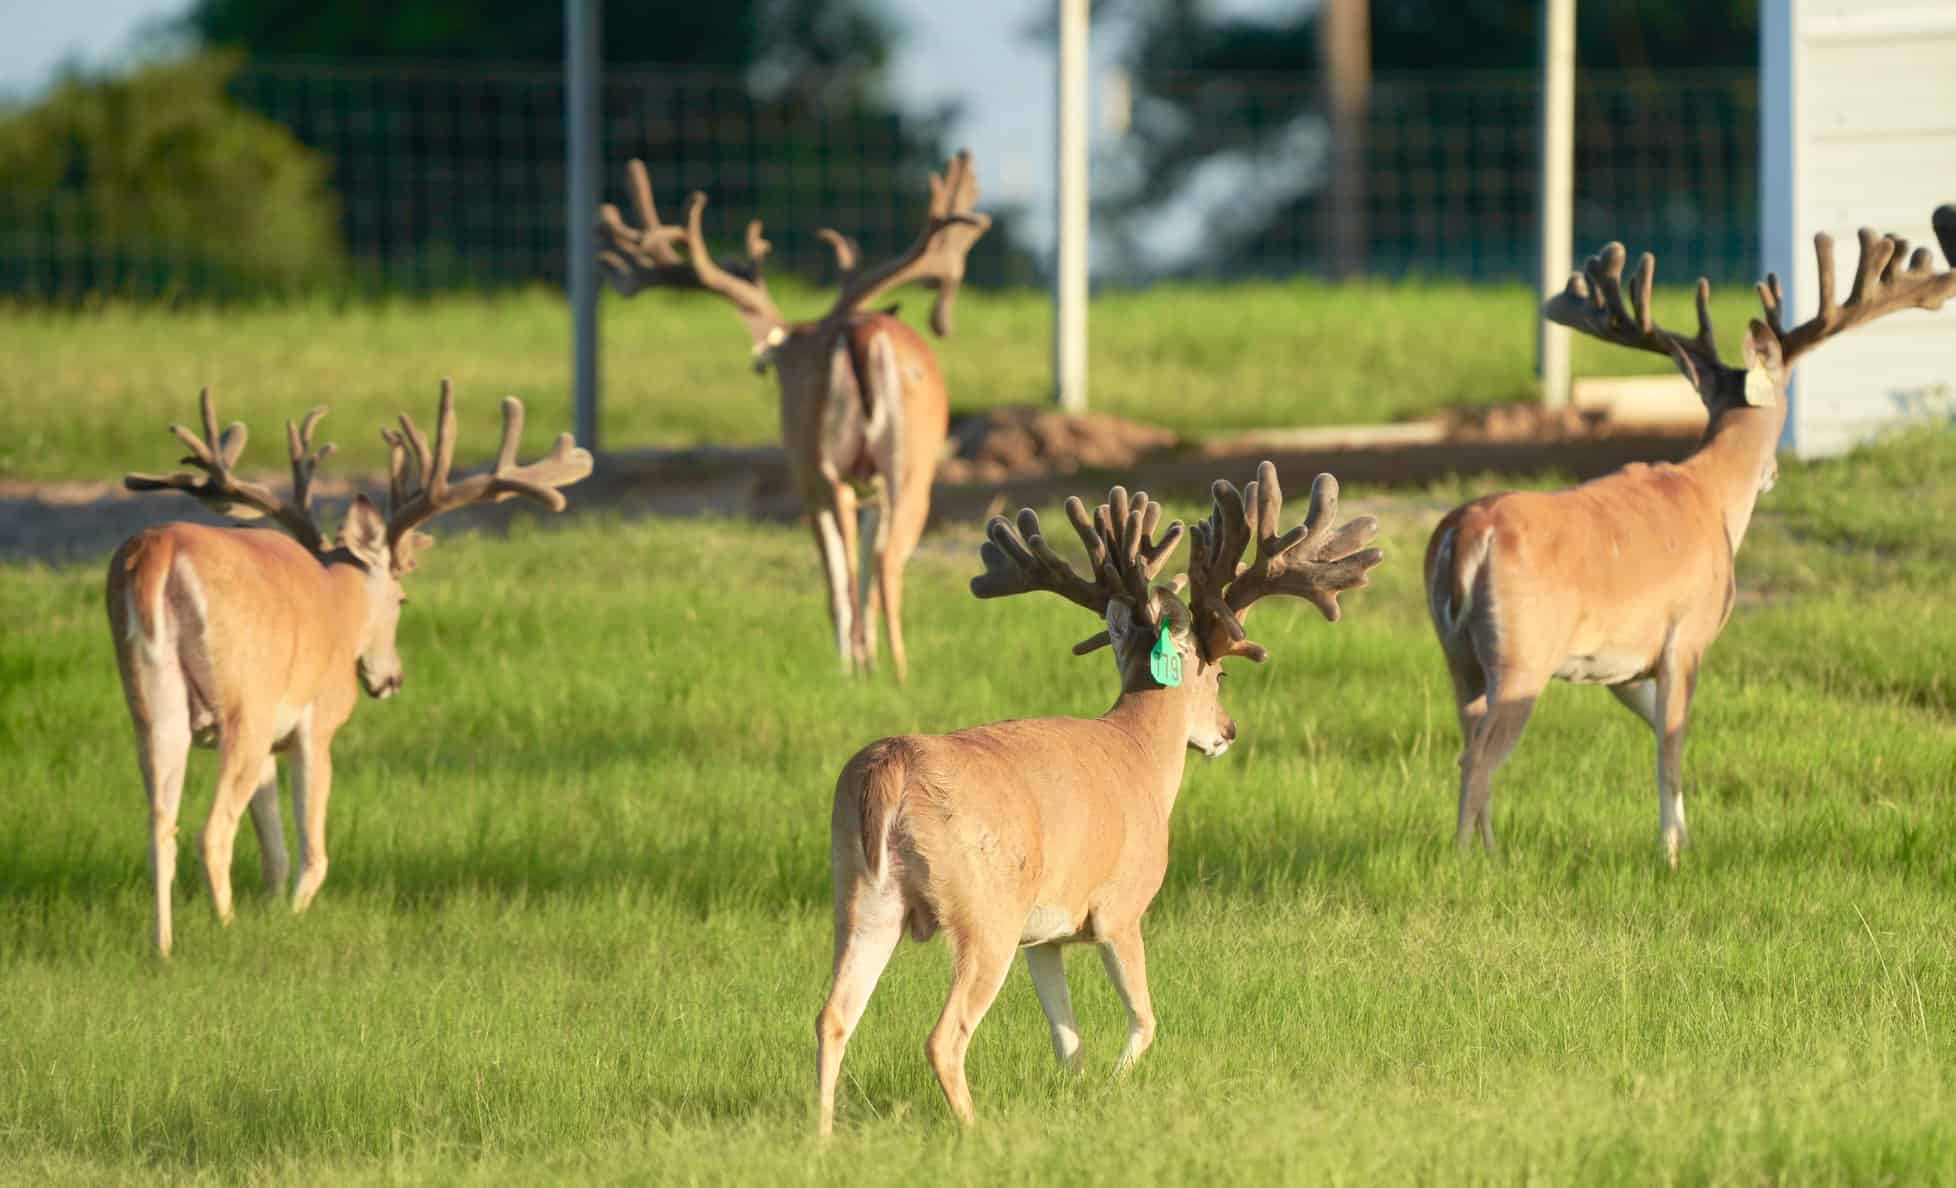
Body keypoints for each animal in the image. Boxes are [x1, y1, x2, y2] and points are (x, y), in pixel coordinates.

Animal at [107, 382, 593, 956]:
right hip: (244, 704)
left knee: (161, 825)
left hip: (152, 705)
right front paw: (291, 920)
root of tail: (156, 551)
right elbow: (313, 853)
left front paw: (271, 911)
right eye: (403, 600)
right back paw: (224, 933)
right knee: (213, 831)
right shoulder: (318, 720)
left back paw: (162, 949)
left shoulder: (272, 738)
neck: (337, 597)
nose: (391, 678)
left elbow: (274, 850)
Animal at [597, 151, 990, 682]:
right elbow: (862, 568)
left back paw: (879, 670)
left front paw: (851, 667)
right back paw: (896, 670)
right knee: (884, 559)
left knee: (861, 565)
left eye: (778, 367)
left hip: (827, 464)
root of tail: (864, 333)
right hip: (909, 463)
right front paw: (865, 664)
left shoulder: (808, 477)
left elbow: (837, 579)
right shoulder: (868, 485)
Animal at [814, 462, 1383, 1134]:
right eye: (1218, 673)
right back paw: (973, 1130)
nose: (1228, 731)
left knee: (832, 1016)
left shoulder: (1046, 935)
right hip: (985, 913)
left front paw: (1080, 1097)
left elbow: (1068, 1041)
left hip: (862, 896)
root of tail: (890, 767)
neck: (1139, 753)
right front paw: (1113, 1091)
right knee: (943, 1036)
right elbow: (1145, 1021)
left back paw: (820, 1138)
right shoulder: (1121, 907)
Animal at [1425, 203, 1956, 867]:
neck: (1712, 494)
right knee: (1478, 756)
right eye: (1788, 391)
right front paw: (1671, 856)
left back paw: (1493, 854)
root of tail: (1462, 536)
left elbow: (1661, 732)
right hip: (1524, 652)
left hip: (1458, 654)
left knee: (1470, 736)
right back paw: (1468, 864)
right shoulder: (1687, 635)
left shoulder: (1625, 664)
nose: (1774, 471)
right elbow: (1669, 752)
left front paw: (1685, 838)